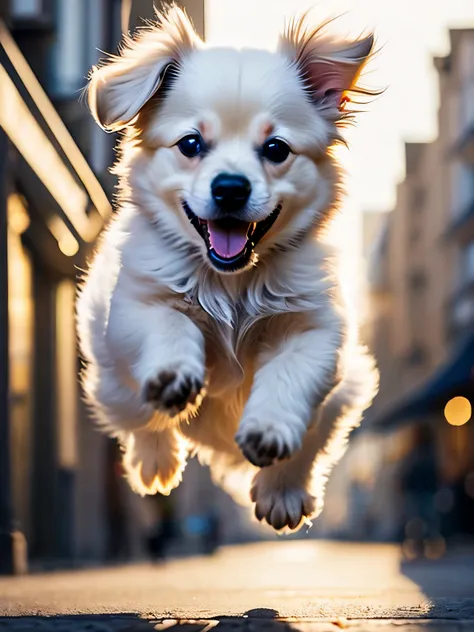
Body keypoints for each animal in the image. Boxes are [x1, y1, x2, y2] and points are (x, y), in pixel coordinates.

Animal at [77, 4, 378, 532]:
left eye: (276, 149)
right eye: (191, 144)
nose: (231, 187)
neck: (231, 281)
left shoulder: (318, 333)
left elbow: (289, 377)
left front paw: (269, 432)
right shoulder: (137, 305)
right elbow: (171, 325)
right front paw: (174, 375)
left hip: (348, 391)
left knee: (313, 441)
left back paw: (283, 492)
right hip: (112, 382)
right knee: (140, 420)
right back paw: (155, 461)